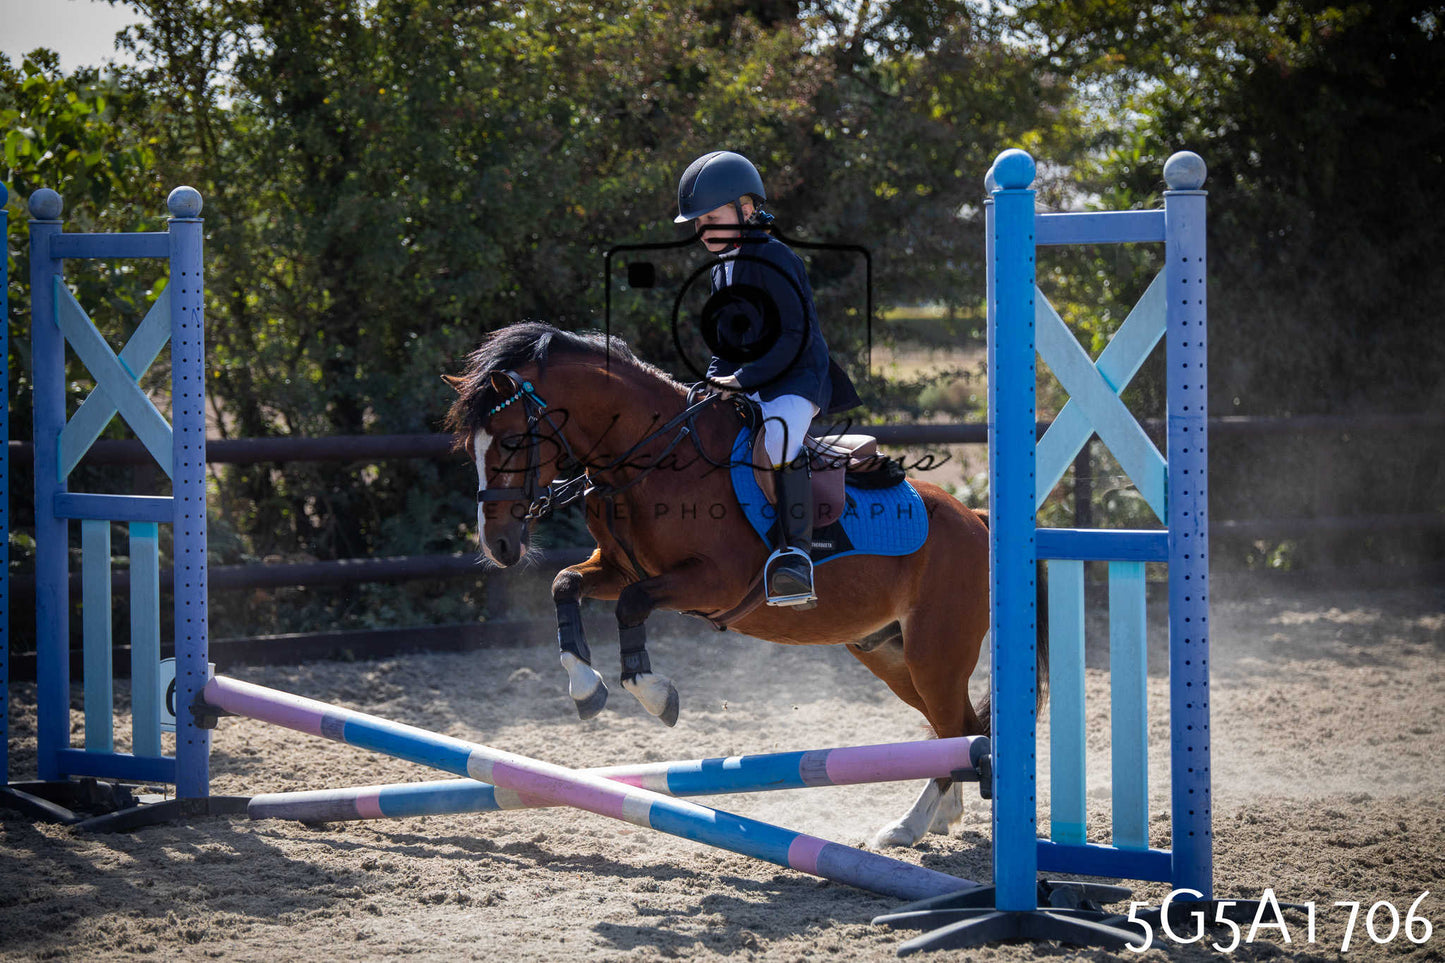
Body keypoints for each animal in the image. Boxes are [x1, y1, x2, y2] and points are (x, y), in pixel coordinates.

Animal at [444, 321, 1016, 847]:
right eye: (468, 447)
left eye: (512, 440)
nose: (497, 545)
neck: (654, 458)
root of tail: (975, 519)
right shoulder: (620, 568)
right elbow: (565, 585)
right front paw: (587, 688)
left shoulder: (713, 583)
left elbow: (631, 606)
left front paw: (654, 693)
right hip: (888, 653)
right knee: (956, 729)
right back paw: (940, 816)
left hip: (934, 654)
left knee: (960, 728)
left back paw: (905, 826)